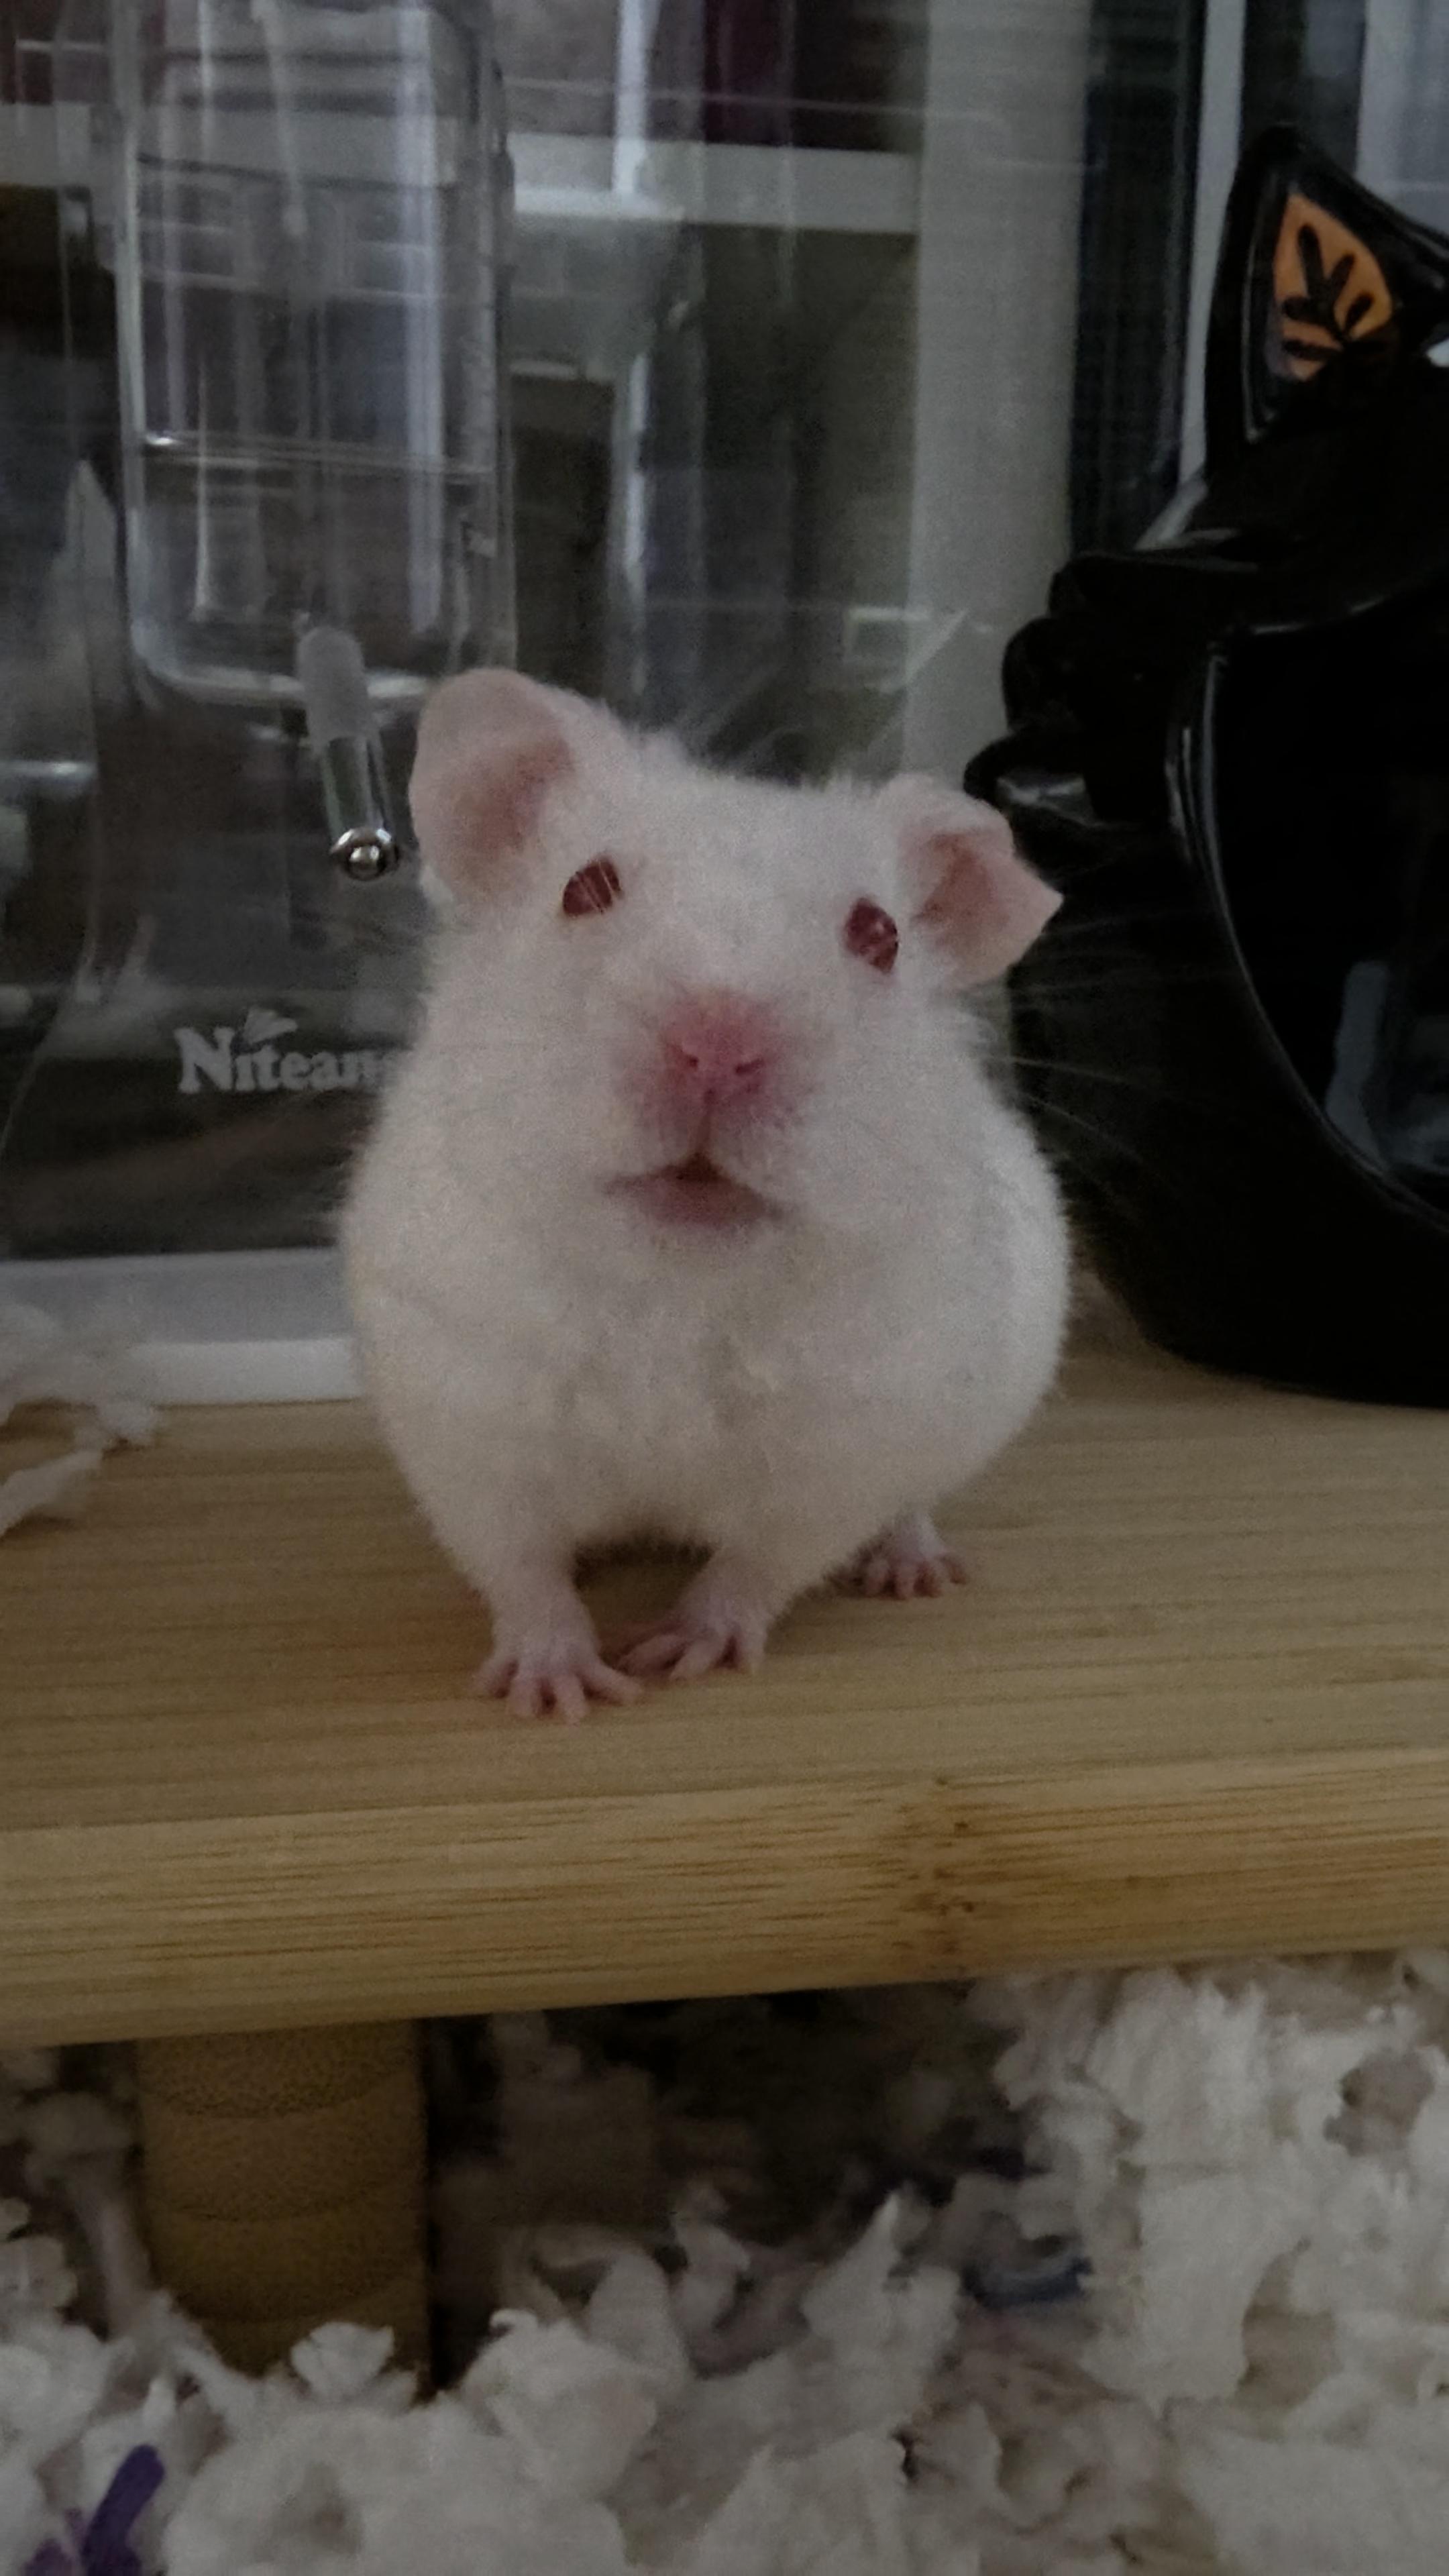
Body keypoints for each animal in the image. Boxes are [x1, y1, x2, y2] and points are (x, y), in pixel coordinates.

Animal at [342, 670, 1070, 1718]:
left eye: (880, 935)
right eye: (584, 889)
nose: (718, 1046)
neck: (675, 1284)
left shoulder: (837, 1463)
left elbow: (756, 1570)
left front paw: (672, 1653)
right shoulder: (470, 1436)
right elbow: (523, 1573)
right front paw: (560, 1695)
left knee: (912, 1508)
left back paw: (914, 1572)